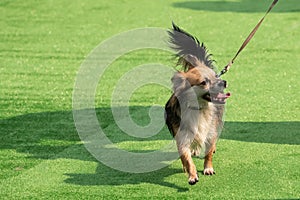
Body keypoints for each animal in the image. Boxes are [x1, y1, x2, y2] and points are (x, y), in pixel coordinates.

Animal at [165, 22, 231, 185]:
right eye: (203, 82)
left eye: (215, 77)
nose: (224, 81)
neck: (200, 109)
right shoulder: (182, 137)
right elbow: (186, 158)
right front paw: (192, 175)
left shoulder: (211, 131)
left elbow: (208, 153)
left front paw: (208, 168)